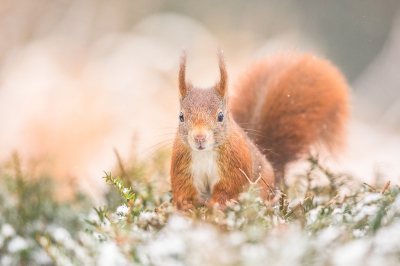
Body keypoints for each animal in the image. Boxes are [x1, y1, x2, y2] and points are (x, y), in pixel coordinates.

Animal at [170, 51, 348, 211]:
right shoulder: (183, 169)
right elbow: (184, 190)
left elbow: (228, 190)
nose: (199, 138)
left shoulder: (235, 167)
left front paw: (215, 206)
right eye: (181, 116)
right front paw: (186, 207)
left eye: (220, 116)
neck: (205, 153)